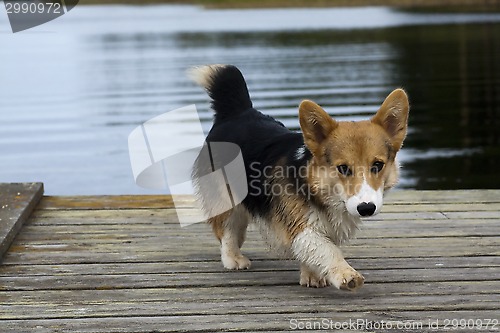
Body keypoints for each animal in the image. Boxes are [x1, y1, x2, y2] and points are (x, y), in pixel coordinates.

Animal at [189, 63, 408, 290]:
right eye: (343, 168)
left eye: (377, 165)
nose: (366, 208)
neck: (319, 188)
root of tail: (237, 112)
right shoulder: (300, 227)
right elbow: (327, 250)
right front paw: (345, 274)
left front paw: (311, 276)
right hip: (226, 199)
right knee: (227, 230)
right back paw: (233, 258)